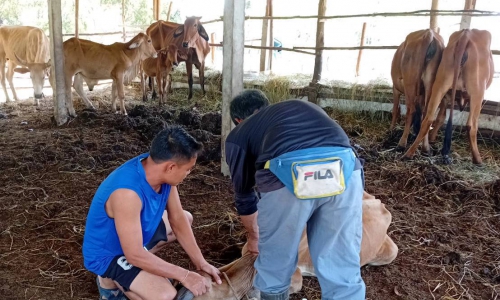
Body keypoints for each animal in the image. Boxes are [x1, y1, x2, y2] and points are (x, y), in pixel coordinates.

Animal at [402, 28, 496, 164]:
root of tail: (466, 34)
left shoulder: (446, 96)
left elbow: (441, 117)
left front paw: (432, 139)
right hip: (477, 92)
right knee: (471, 125)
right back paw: (477, 159)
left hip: (438, 84)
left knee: (426, 117)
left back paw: (410, 152)